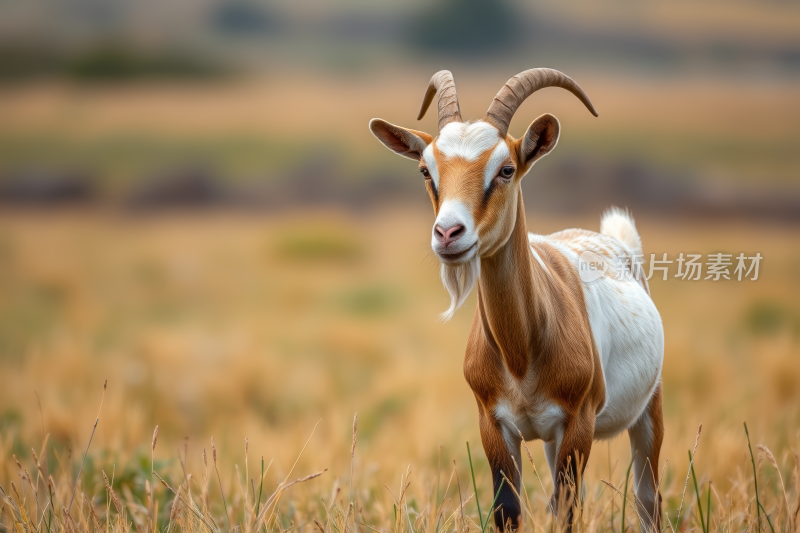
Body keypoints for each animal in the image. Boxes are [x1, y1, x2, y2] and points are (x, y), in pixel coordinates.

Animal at [372, 68, 664, 528]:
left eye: (506, 169)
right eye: (425, 170)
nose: (448, 233)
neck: (521, 354)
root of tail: (618, 243)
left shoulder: (577, 424)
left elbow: (567, 509)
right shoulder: (494, 426)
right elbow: (508, 508)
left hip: (648, 411)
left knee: (647, 498)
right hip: (547, 441)